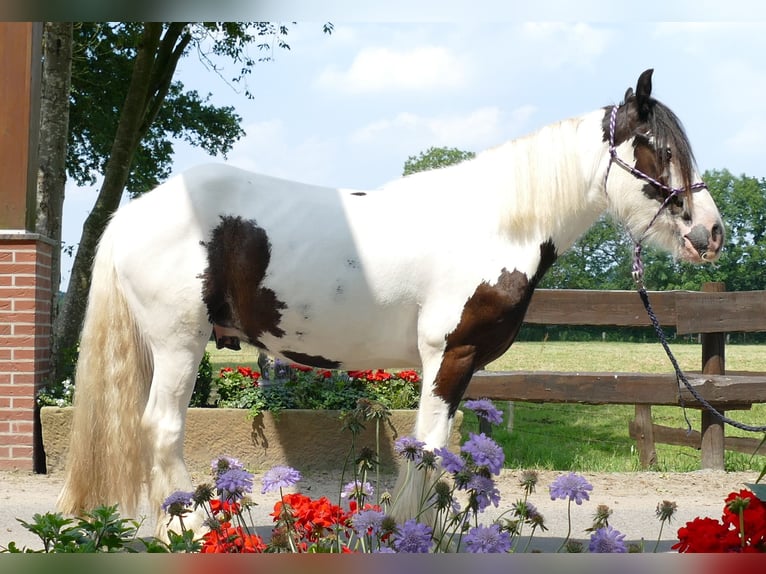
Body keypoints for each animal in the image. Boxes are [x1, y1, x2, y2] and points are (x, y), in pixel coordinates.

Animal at [58, 71, 728, 536]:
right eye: (659, 149)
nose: (712, 232)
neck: (494, 223)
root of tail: (137, 210)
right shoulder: (449, 355)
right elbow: (428, 448)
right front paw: (411, 530)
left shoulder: (455, 364)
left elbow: (439, 449)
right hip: (179, 344)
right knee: (162, 428)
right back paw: (194, 526)